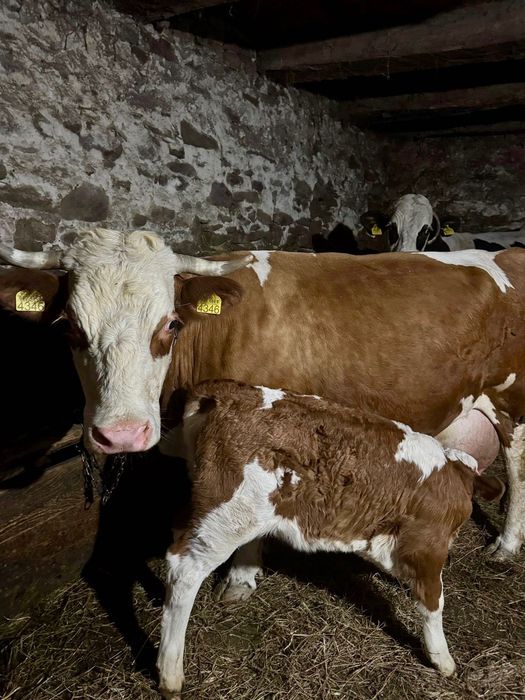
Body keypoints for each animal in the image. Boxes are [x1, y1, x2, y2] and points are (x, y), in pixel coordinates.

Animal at [1, 229, 525, 589]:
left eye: (170, 324)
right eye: (69, 327)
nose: (122, 434)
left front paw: (241, 576)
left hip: (511, 398)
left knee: (517, 464)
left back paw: (507, 542)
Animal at [157, 380, 503, 698]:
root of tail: (227, 390)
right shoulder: (427, 548)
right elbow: (434, 602)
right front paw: (443, 660)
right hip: (228, 516)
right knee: (184, 571)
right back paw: (170, 673)